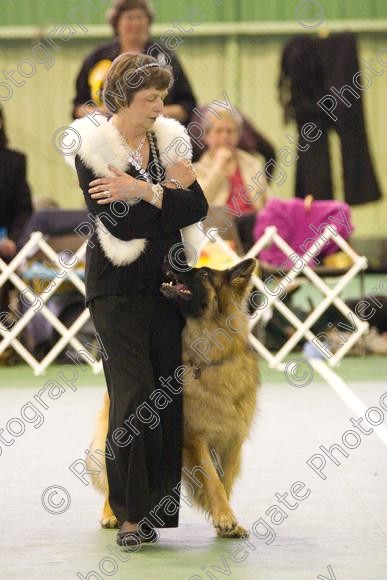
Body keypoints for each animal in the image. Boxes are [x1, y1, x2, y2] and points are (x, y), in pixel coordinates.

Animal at [88, 258, 260, 540]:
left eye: (203, 273)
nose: (168, 259)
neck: (208, 359)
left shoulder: (233, 439)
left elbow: (224, 482)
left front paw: (227, 520)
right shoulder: (195, 437)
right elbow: (212, 478)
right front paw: (223, 516)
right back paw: (112, 514)